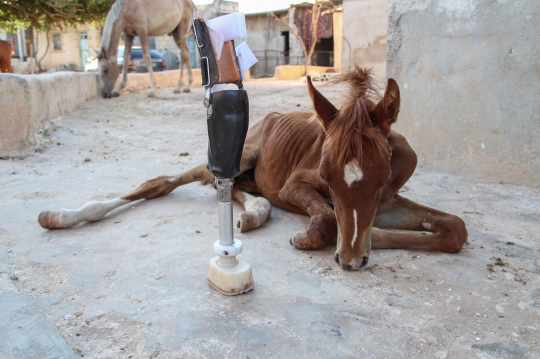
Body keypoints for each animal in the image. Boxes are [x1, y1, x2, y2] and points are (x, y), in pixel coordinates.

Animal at [39, 67, 468, 270]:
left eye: (381, 180)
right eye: (326, 176)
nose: (349, 261)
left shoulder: (389, 201)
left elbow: (456, 229)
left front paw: (368, 240)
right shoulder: (296, 184)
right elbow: (329, 218)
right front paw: (326, 237)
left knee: (232, 188)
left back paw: (256, 214)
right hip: (238, 156)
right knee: (166, 182)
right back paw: (60, 215)